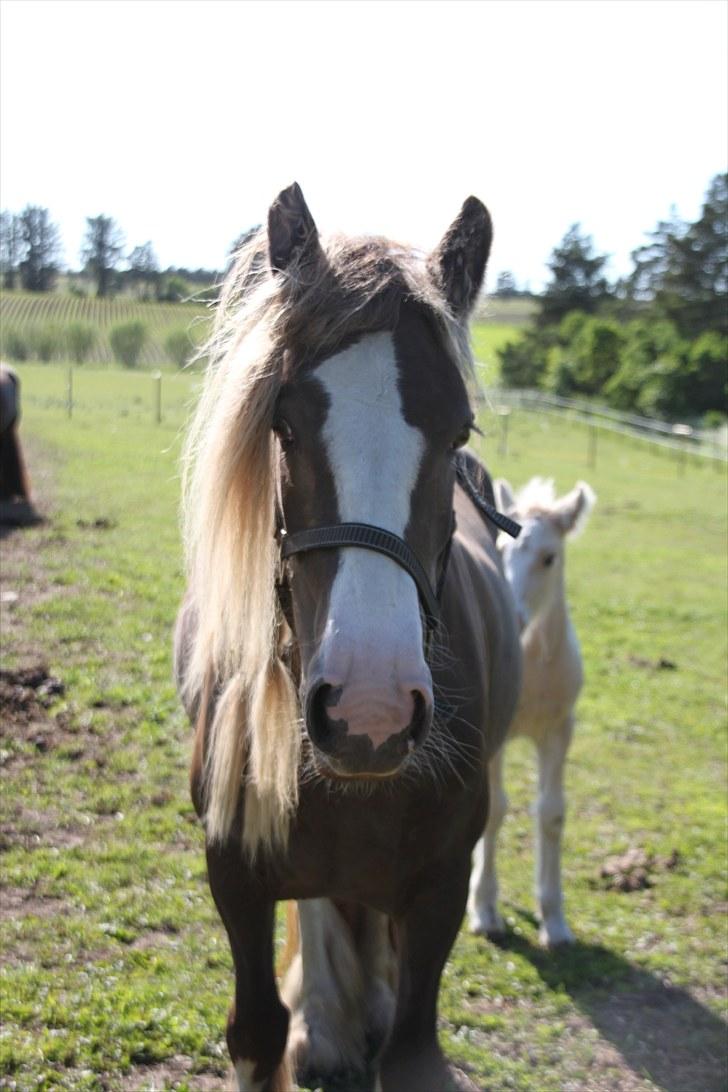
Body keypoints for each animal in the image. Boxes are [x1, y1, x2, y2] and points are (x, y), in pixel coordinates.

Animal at [173, 183, 521, 1087]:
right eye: (285, 423)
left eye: (459, 431)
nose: (370, 711)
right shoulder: (235, 876)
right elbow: (257, 1030)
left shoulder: (440, 892)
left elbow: (409, 1045)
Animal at [469, 478, 593, 947]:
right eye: (500, 548)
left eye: (549, 557)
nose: (514, 617)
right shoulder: (494, 737)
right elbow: (494, 812)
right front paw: (485, 910)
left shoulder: (559, 729)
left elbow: (552, 813)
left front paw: (554, 921)